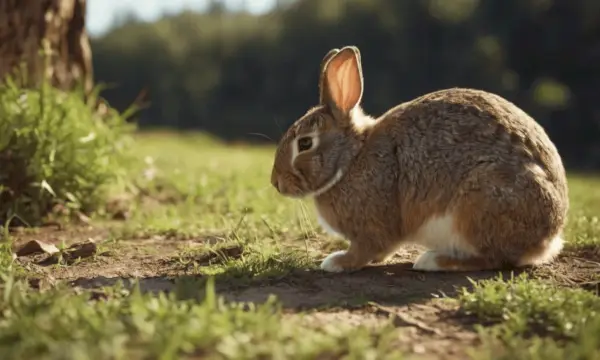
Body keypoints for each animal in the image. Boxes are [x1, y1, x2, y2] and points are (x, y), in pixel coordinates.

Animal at [270, 45, 568, 272]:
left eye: (305, 143)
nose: (276, 183)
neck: (351, 159)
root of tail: (549, 237)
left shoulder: (371, 229)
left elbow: (365, 251)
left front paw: (336, 262)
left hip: (480, 201)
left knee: (493, 258)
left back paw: (433, 261)